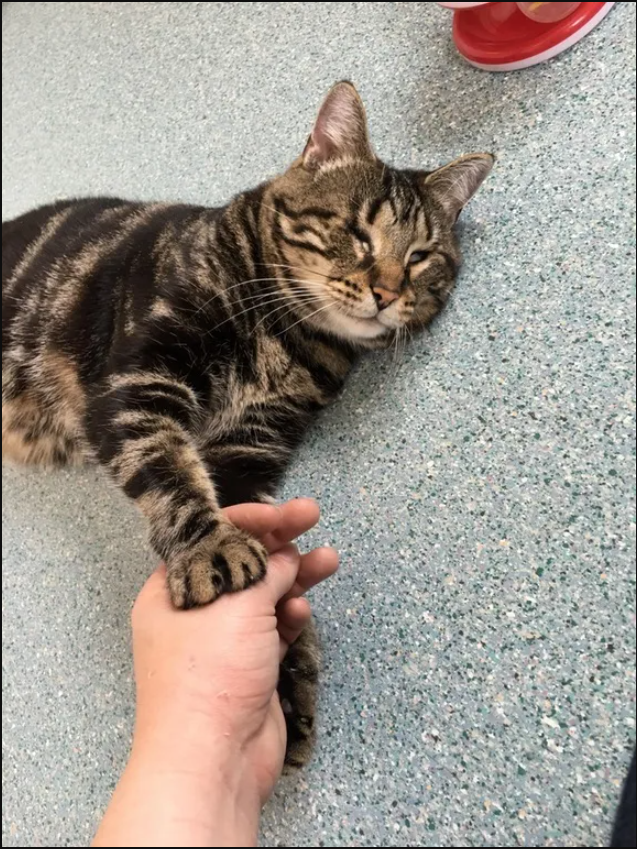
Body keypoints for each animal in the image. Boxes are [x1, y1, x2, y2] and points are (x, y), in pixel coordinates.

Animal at [1, 83, 492, 764]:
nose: (389, 292)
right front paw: (208, 548)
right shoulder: (139, 379)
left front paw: (287, 678)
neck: (287, 335)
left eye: (421, 257)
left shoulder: (251, 440)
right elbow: (169, 471)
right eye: (358, 232)